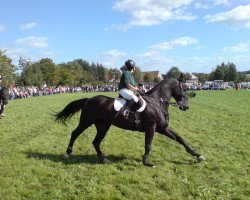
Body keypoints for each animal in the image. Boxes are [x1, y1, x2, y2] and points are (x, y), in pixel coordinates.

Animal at [55, 74, 205, 166]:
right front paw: (146, 162)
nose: (185, 106)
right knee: (75, 133)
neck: (157, 102)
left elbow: (180, 139)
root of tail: (88, 99)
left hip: (103, 126)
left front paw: (197, 155)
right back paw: (67, 153)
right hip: (86, 121)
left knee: (96, 142)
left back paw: (103, 159)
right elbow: (148, 144)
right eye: (183, 88)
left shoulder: (162, 128)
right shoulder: (151, 128)